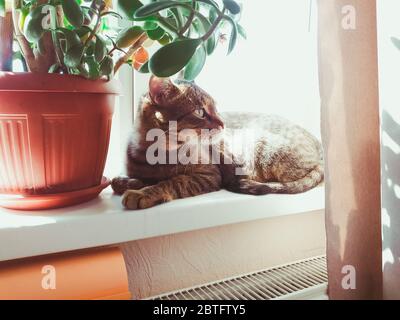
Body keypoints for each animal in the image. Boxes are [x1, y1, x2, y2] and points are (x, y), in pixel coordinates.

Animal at [111, 76, 324, 209]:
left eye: (216, 108)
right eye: (200, 111)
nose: (222, 123)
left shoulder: (208, 174)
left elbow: (173, 182)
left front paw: (144, 193)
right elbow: (125, 180)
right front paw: (129, 182)